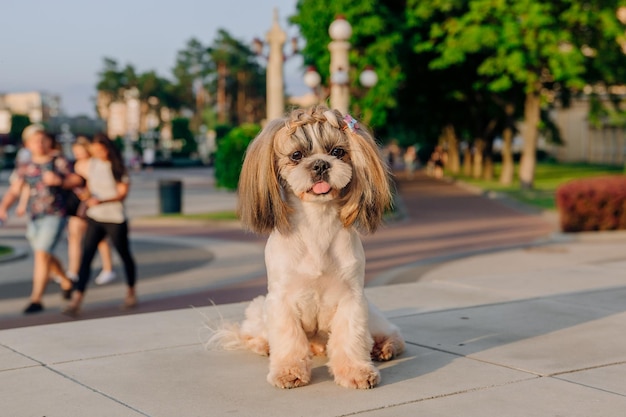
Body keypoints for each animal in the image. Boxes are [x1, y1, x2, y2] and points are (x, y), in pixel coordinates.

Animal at [208, 105, 404, 388]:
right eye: (296, 155)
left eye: (338, 152)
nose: (320, 164)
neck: (317, 223)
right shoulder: (281, 301)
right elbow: (288, 339)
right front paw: (288, 371)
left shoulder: (352, 299)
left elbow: (351, 338)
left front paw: (356, 371)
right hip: (260, 309)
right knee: (253, 334)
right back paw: (264, 345)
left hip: (373, 314)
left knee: (387, 332)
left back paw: (383, 346)